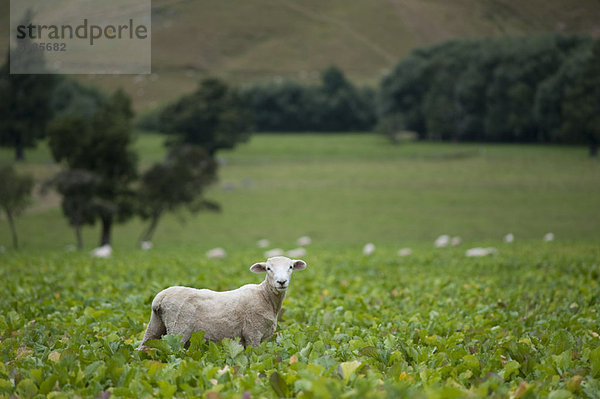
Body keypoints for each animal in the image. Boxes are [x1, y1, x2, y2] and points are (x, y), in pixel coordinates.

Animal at [138, 256, 308, 350]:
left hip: (155, 325)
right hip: (178, 329)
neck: (265, 296)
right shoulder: (253, 334)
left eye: (290, 267)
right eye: (268, 268)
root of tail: (159, 299)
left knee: (143, 347)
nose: (281, 282)